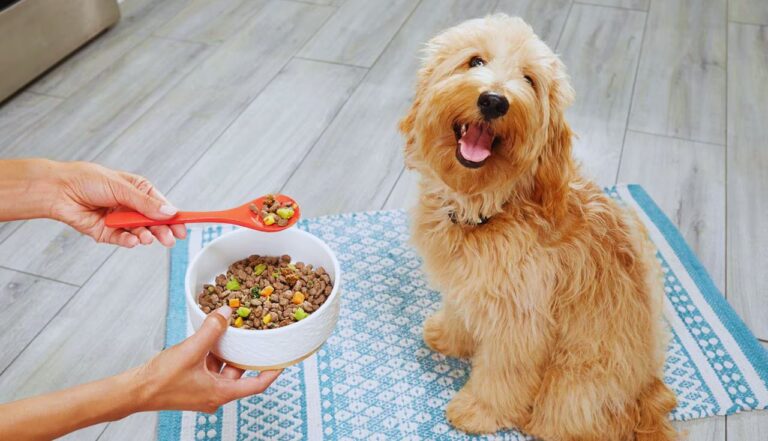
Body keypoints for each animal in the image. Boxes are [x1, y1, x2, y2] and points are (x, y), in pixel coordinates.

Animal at [400, 14, 676, 440]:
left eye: (529, 80)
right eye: (475, 61)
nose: (494, 100)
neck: (495, 206)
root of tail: (645, 397)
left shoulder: (520, 319)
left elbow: (503, 371)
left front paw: (478, 411)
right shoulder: (467, 286)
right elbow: (459, 311)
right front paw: (447, 337)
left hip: (571, 388)